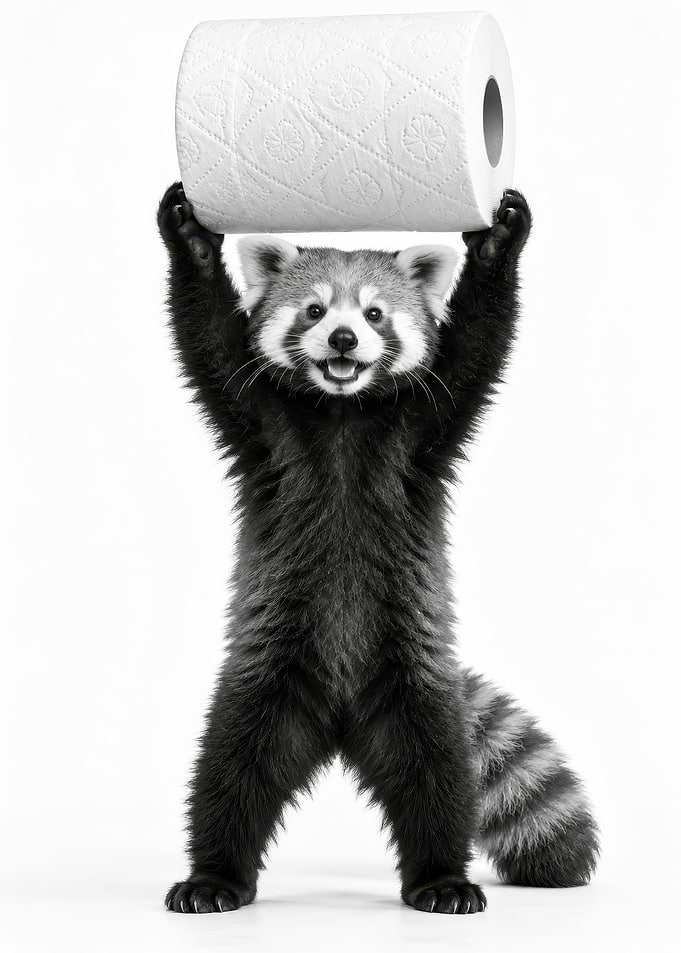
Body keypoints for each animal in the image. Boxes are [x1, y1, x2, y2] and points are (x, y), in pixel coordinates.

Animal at [157, 183, 598, 916]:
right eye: (313, 309)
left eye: (373, 313)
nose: (342, 338)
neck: (342, 411)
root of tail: (338, 720)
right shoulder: (259, 422)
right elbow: (209, 341)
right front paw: (189, 234)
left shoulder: (425, 427)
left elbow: (478, 345)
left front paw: (498, 239)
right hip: (263, 684)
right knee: (230, 776)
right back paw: (215, 877)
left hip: (416, 690)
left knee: (438, 785)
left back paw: (441, 880)